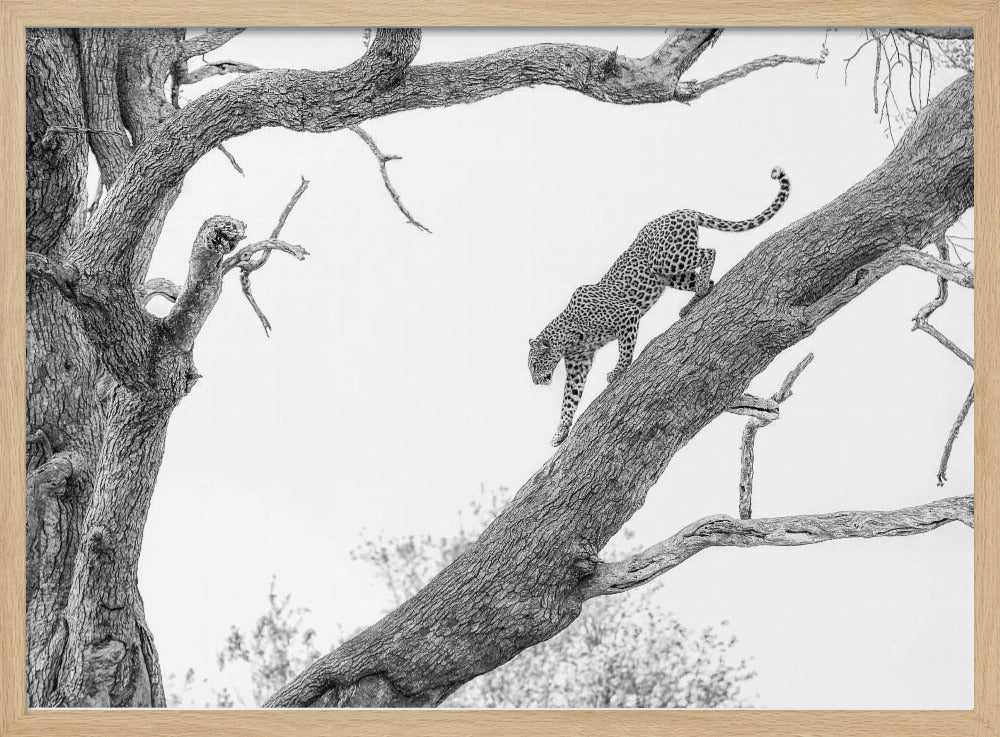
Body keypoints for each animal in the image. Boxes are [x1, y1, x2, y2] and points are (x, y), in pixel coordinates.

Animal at [529, 166, 790, 446]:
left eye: (534, 365)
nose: (535, 382)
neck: (568, 336)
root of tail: (682, 210)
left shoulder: (627, 316)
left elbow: (625, 349)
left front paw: (618, 371)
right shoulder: (578, 364)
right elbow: (569, 399)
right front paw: (560, 432)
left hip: (666, 259)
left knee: (709, 251)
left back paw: (700, 290)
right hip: (668, 275)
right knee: (705, 276)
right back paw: (694, 301)